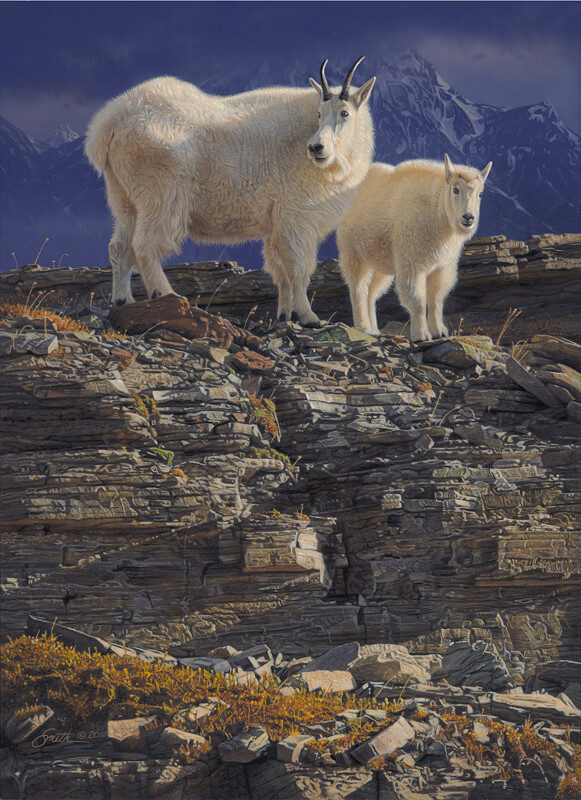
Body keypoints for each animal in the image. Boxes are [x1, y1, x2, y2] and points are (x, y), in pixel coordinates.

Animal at [85, 59, 376, 325]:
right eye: (319, 113)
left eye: (345, 113)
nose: (316, 148)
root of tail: (107, 125)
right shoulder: (296, 215)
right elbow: (298, 268)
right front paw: (307, 316)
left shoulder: (276, 222)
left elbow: (280, 269)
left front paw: (284, 314)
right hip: (161, 193)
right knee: (144, 245)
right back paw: (166, 294)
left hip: (123, 196)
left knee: (120, 246)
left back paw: (123, 299)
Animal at [337, 155, 492, 341]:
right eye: (455, 189)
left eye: (480, 194)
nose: (468, 217)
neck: (438, 214)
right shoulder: (412, 263)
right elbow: (418, 300)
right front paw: (421, 335)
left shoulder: (441, 266)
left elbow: (436, 298)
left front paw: (439, 331)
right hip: (353, 252)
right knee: (358, 287)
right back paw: (363, 327)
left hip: (381, 262)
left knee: (371, 292)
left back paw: (374, 329)